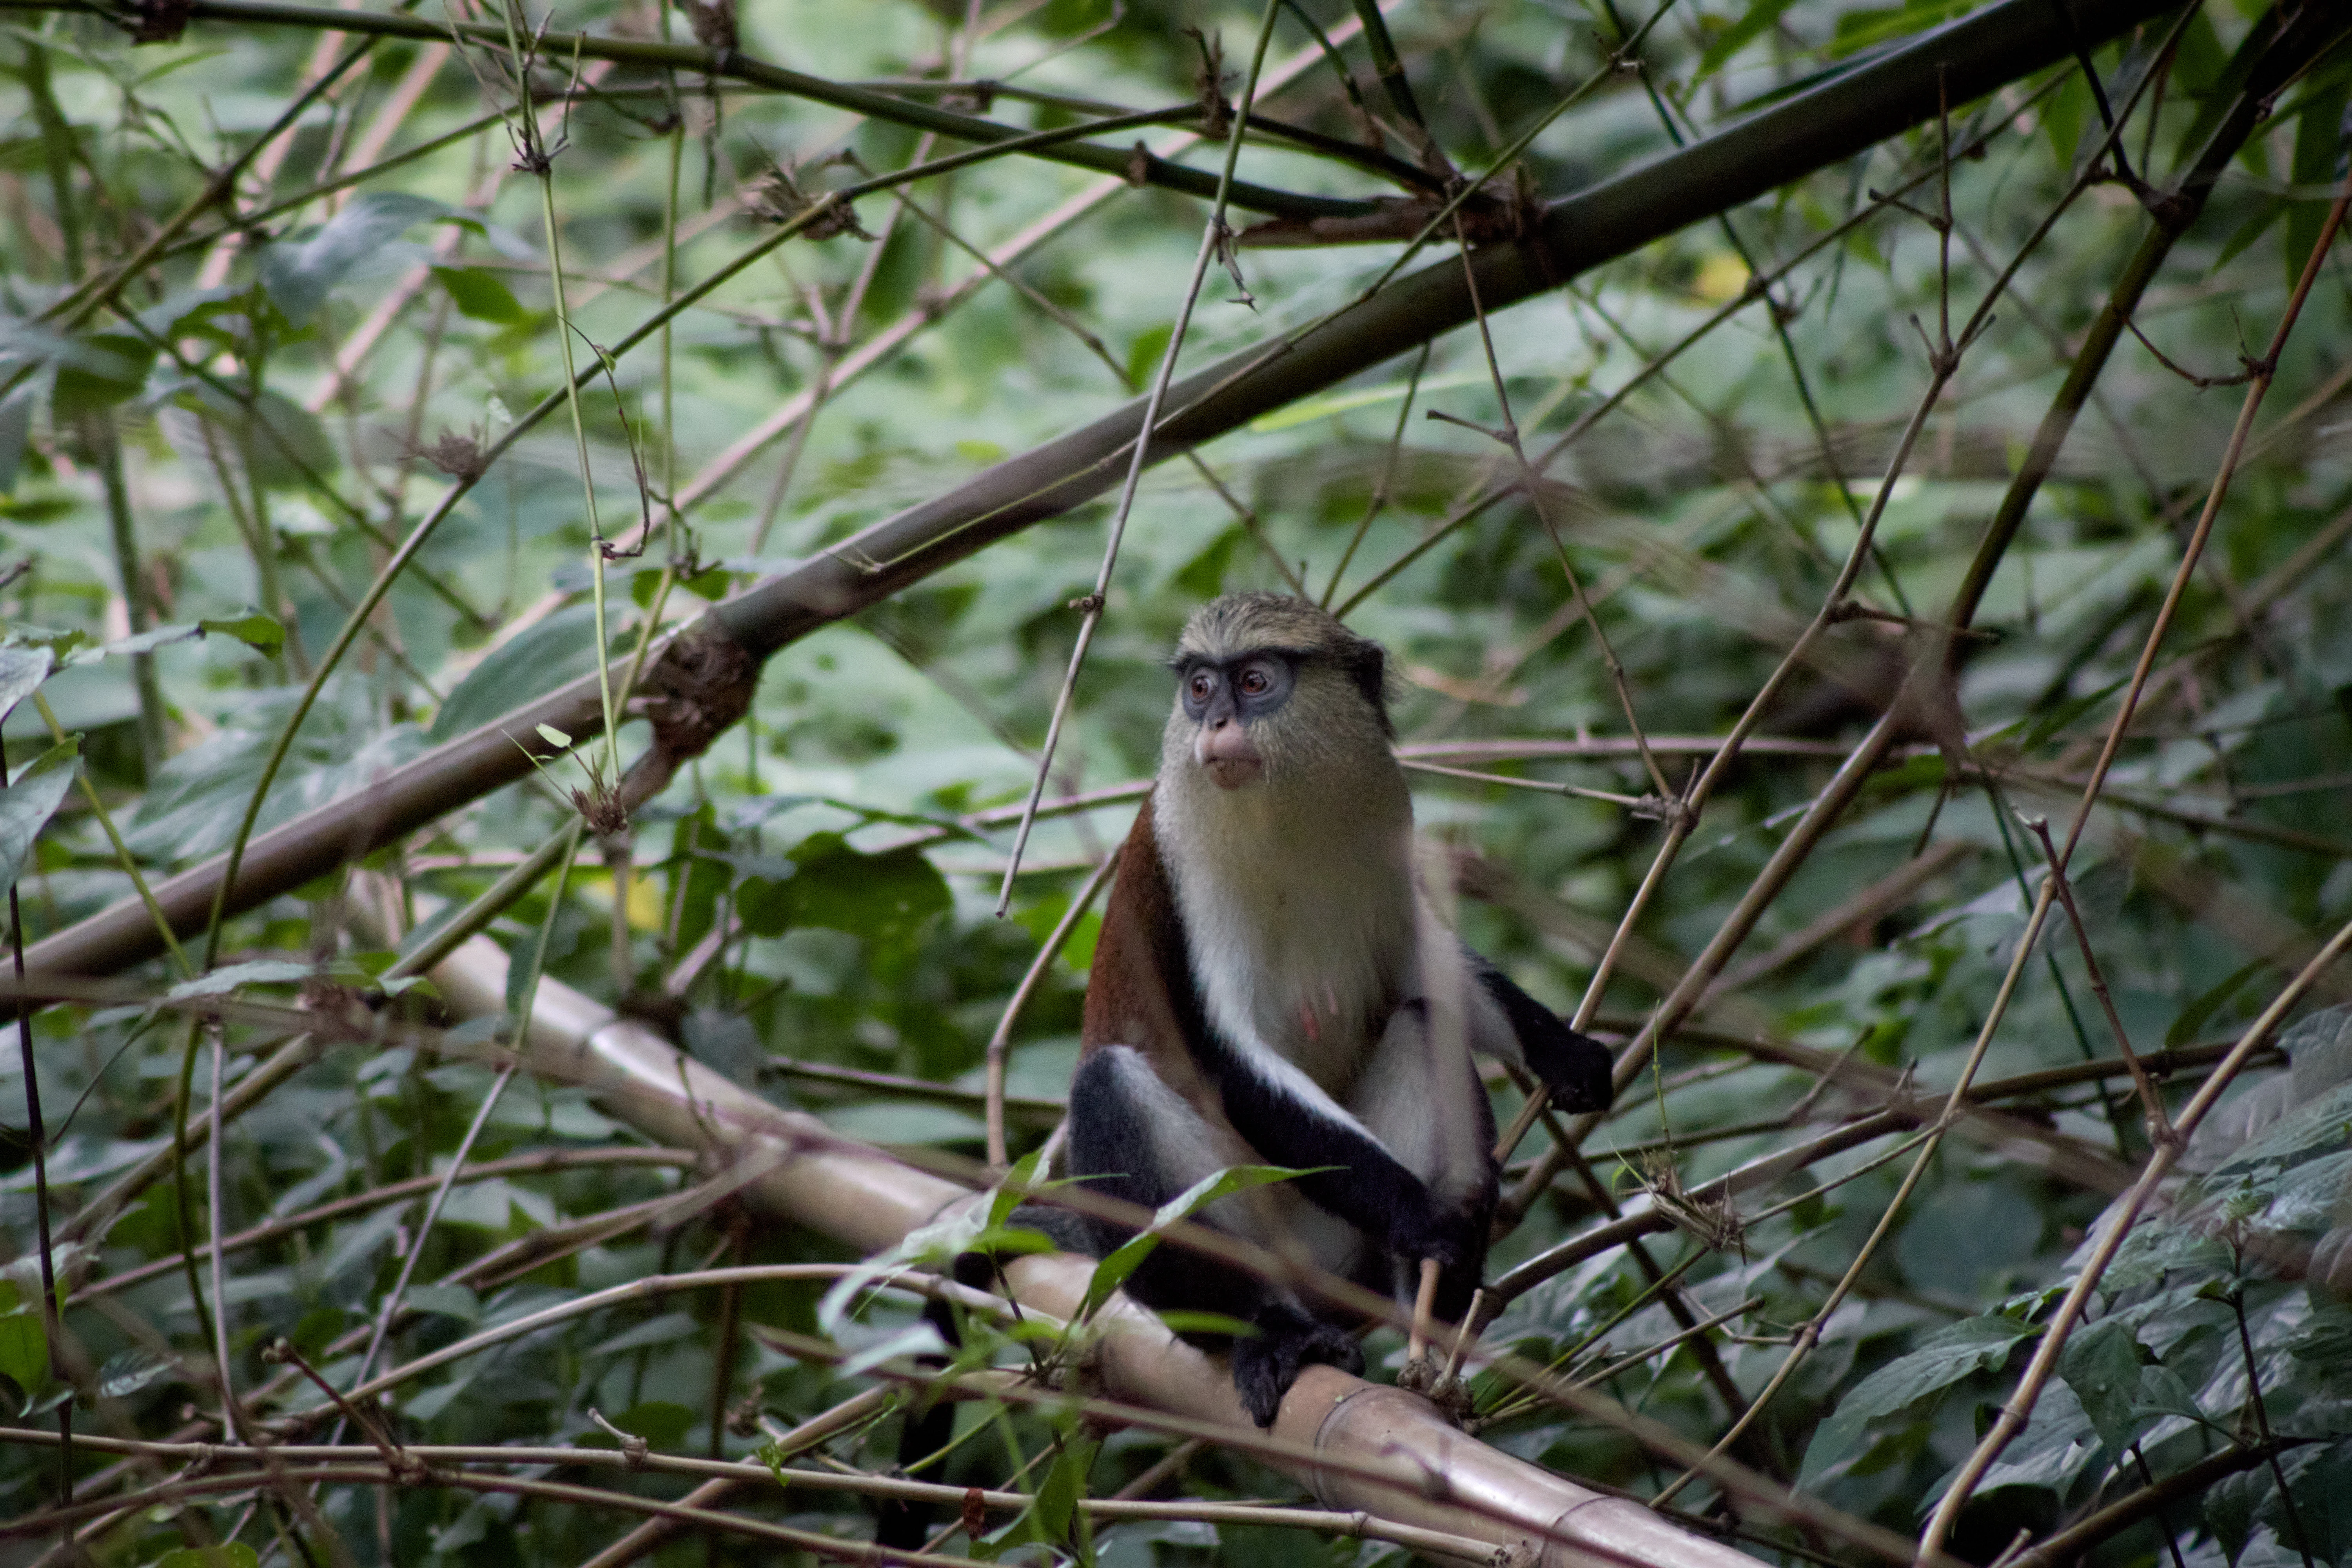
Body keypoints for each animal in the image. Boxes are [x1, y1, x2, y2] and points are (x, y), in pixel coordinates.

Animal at [1055, 591, 1614, 1428]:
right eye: (1200, 688)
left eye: (1255, 682)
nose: (1217, 723)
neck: (1286, 813)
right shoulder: (1183, 869)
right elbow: (1227, 1056)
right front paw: (1422, 1217)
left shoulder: (1386, 838)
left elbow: (1430, 970)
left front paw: (1563, 1052)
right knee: (1108, 1085)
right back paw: (1274, 1330)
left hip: (1344, 1250)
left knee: (1421, 1019)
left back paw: (1434, 1308)